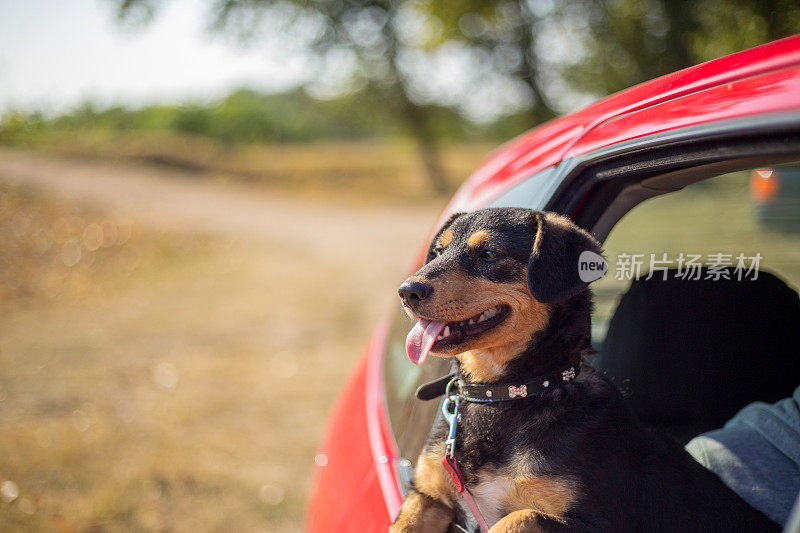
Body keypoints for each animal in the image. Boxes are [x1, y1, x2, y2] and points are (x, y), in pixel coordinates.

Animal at [390, 209, 780, 532]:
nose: (407, 291)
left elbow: (518, 516)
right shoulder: (427, 495)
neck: (508, 392)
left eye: (489, 253)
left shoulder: (599, 522)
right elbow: (404, 521)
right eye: (438, 252)